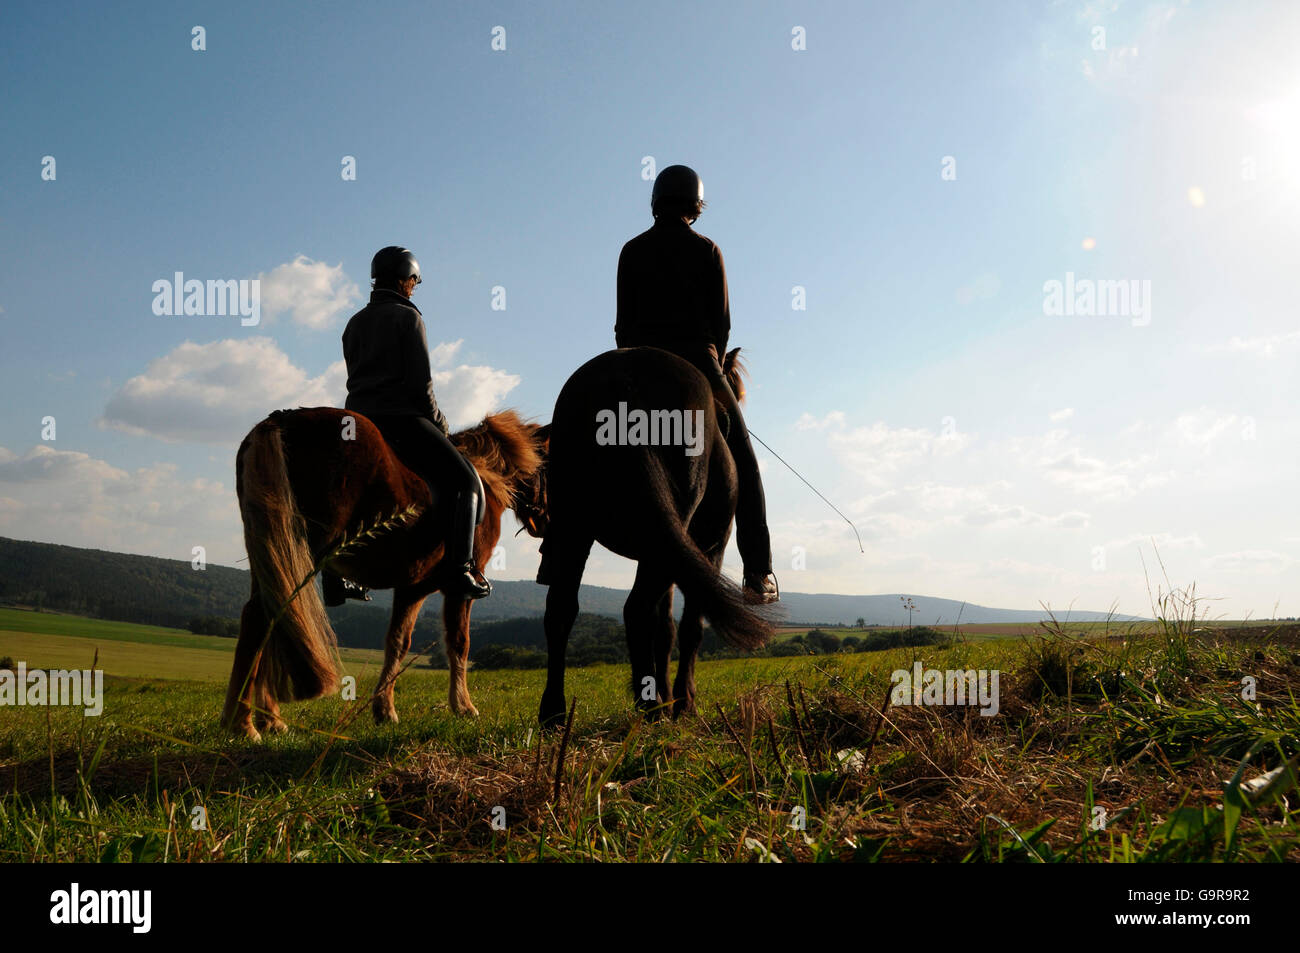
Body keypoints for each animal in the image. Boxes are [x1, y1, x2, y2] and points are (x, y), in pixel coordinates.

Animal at [219, 407, 549, 740]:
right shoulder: (458, 589)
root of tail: (281, 420)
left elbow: (398, 642)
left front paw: (384, 709)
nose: (542, 524)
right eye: (548, 465)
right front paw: (464, 707)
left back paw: (269, 720)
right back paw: (243, 724)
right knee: (263, 617)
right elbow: (459, 642)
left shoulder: (412, 588)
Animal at [536, 346, 773, 727]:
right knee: (635, 609)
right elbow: (690, 626)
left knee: (561, 610)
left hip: (576, 529)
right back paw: (652, 708)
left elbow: (664, 628)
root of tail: (623, 377)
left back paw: (554, 713)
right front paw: (683, 702)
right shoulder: (711, 548)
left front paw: (666, 691)